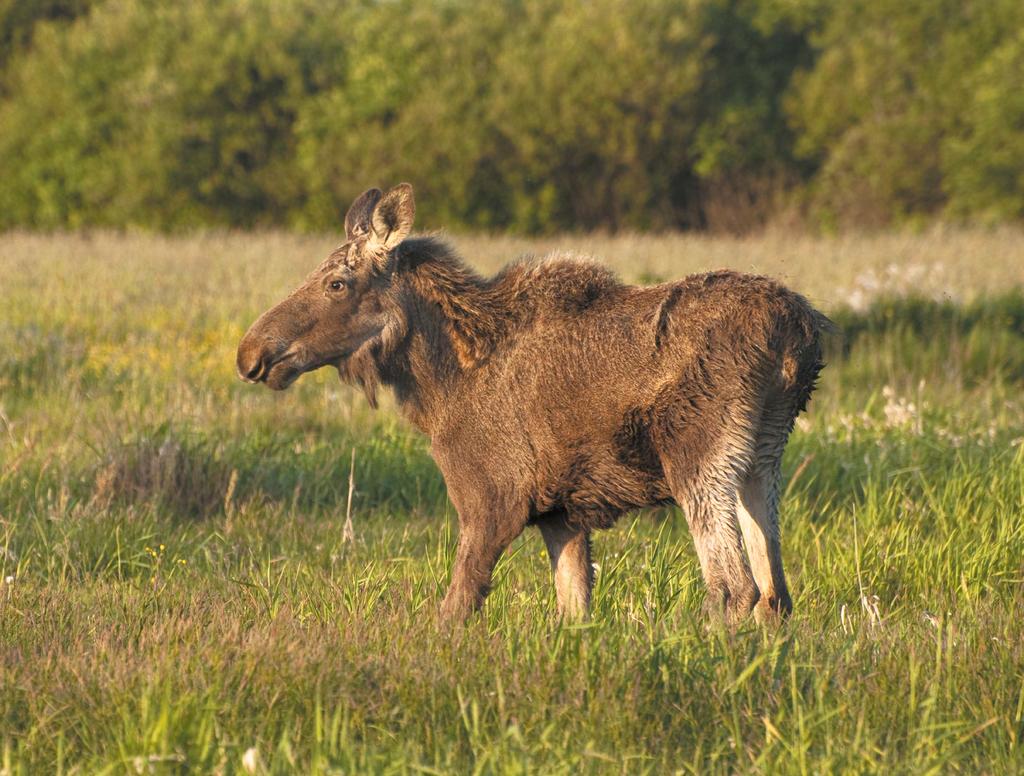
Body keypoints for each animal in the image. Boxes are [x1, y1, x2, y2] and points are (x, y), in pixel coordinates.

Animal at [235, 184, 827, 626]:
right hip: (761, 457)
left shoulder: (492, 498)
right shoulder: (560, 514)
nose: (251, 353)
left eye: (338, 282)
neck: (437, 382)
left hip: (698, 454)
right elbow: (574, 610)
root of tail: (798, 332)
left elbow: (455, 608)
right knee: (775, 593)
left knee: (733, 587)